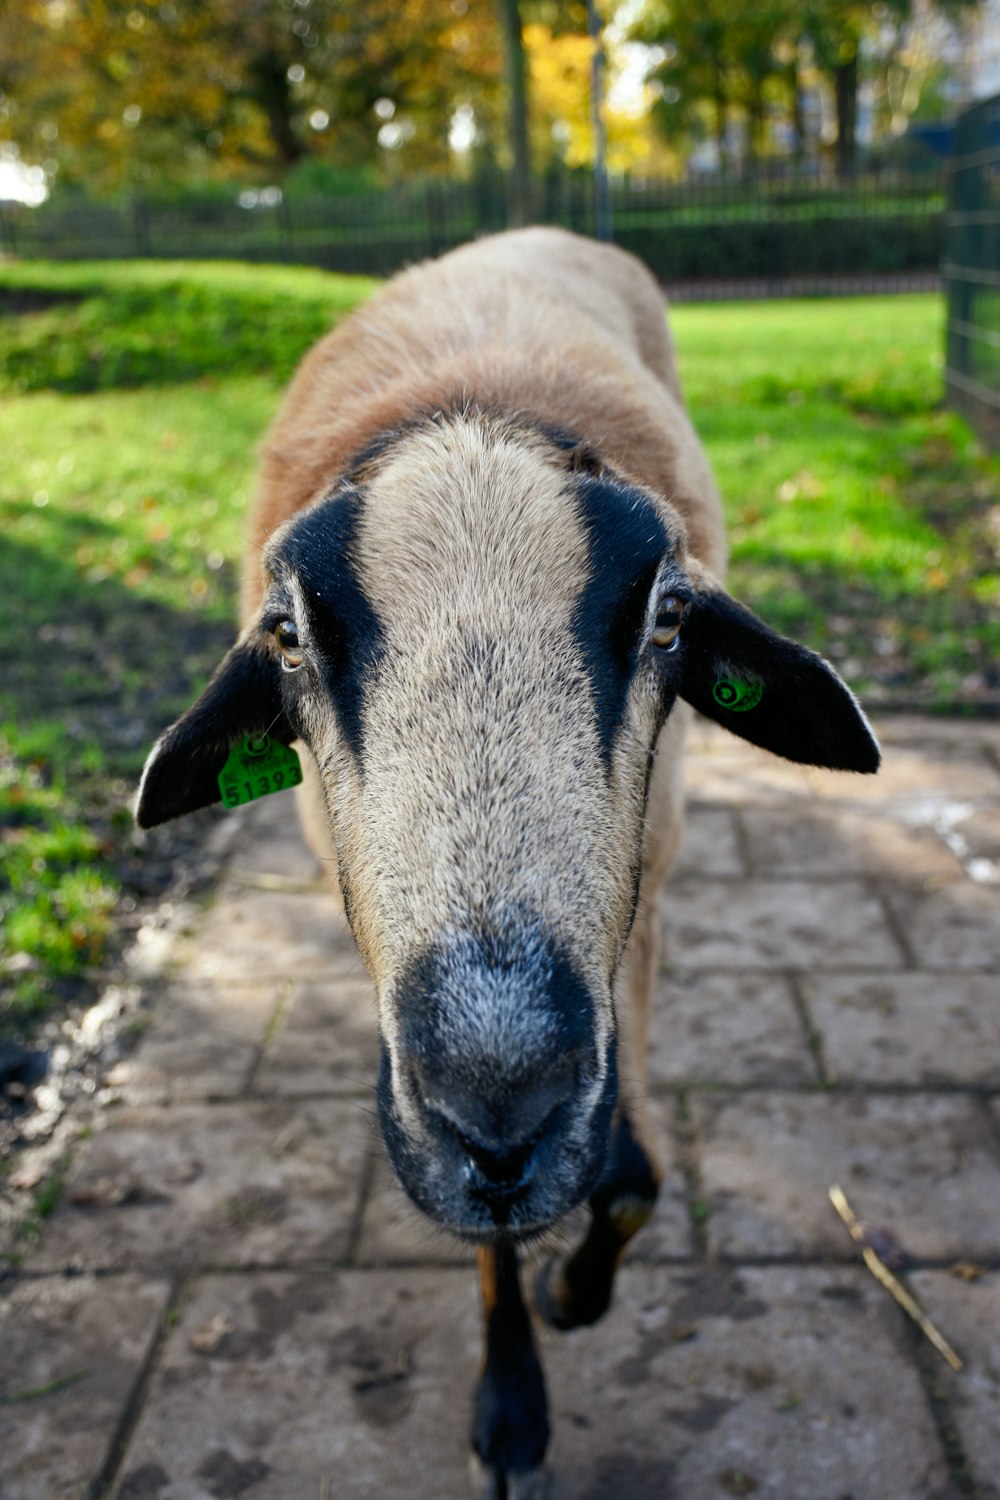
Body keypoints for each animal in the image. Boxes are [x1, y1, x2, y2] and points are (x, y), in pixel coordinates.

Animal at [137, 228, 881, 1494]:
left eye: (669, 617)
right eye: (287, 635)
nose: (499, 1120)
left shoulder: (645, 891)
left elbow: (627, 1177)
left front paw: (574, 1295)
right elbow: (493, 1232)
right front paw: (513, 1406)